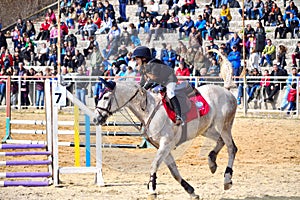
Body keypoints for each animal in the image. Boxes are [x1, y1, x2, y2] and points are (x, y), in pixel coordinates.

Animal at [94, 80, 239, 199]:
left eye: (106, 97)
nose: (96, 119)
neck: (149, 110)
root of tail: (228, 93)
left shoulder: (166, 143)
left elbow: (155, 164)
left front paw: (152, 189)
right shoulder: (162, 146)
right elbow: (173, 171)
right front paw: (191, 191)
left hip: (224, 126)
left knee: (231, 148)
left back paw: (227, 179)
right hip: (207, 129)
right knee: (220, 141)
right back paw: (212, 162)